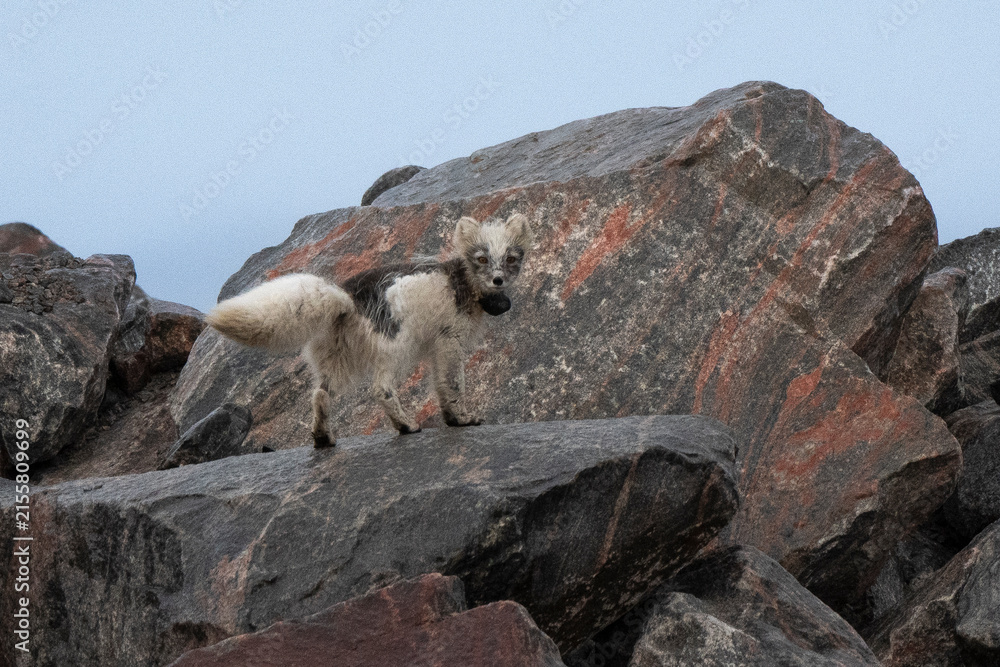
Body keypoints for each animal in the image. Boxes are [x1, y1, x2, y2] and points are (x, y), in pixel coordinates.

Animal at [206, 212, 532, 448]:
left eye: (511, 259)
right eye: (482, 259)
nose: (499, 281)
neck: (463, 282)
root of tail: (349, 298)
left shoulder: (437, 345)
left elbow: (440, 384)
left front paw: (452, 419)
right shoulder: (450, 340)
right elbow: (452, 384)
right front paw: (462, 419)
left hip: (337, 357)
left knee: (320, 393)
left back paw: (324, 438)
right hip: (397, 347)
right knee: (381, 388)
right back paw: (406, 425)